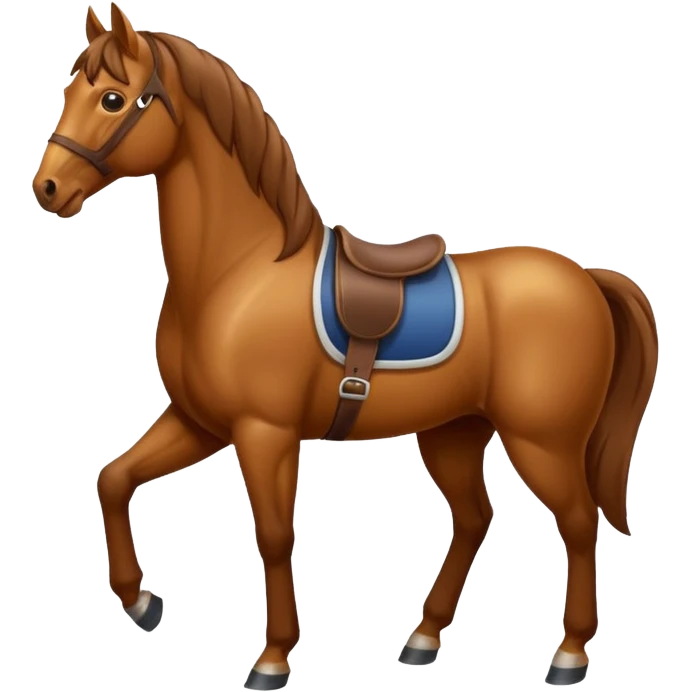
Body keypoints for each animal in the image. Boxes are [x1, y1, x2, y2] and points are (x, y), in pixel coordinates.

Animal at [32, 3, 659, 689]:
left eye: (113, 99)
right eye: (70, 91)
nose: (49, 189)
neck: (238, 271)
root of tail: (586, 279)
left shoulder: (264, 433)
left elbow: (274, 536)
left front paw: (273, 658)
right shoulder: (200, 422)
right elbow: (113, 479)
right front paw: (142, 603)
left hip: (542, 441)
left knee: (577, 523)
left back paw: (569, 655)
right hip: (454, 431)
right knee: (475, 518)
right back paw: (423, 638)